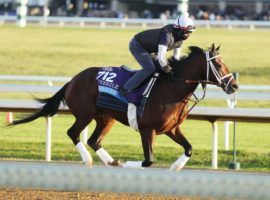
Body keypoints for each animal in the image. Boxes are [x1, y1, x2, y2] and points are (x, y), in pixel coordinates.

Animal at [10, 43, 238, 170]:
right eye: (218, 64)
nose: (234, 85)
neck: (172, 87)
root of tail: (73, 80)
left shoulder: (171, 128)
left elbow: (189, 149)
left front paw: (175, 167)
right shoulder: (147, 129)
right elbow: (148, 160)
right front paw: (129, 164)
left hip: (106, 118)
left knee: (93, 140)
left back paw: (111, 161)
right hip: (85, 114)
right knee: (73, 133)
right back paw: (89, 160)